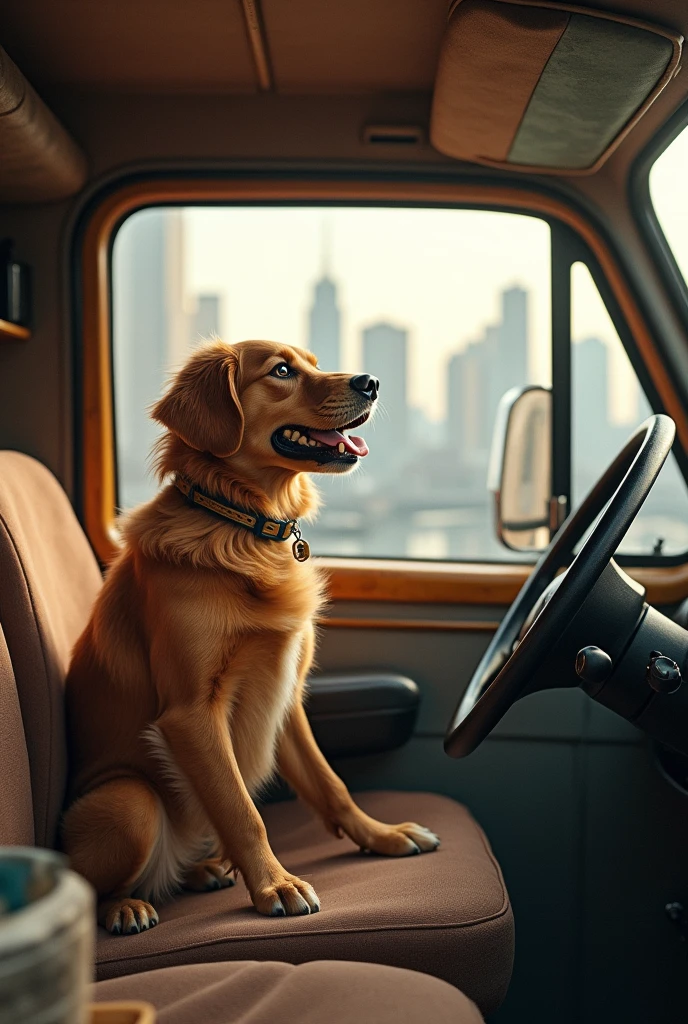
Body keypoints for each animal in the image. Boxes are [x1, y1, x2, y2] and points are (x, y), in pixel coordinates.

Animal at [61, 339, 438, 933]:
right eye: (281, 371)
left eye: (312, 363)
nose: (372, 382)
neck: (242, 525)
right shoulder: (191, 714)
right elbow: (242, 810)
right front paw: (275, 885)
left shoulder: (286, 695)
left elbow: (330, 783)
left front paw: (382, 835)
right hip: (128, 802)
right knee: (95, 884)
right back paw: (126, 905)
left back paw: (203, 870)